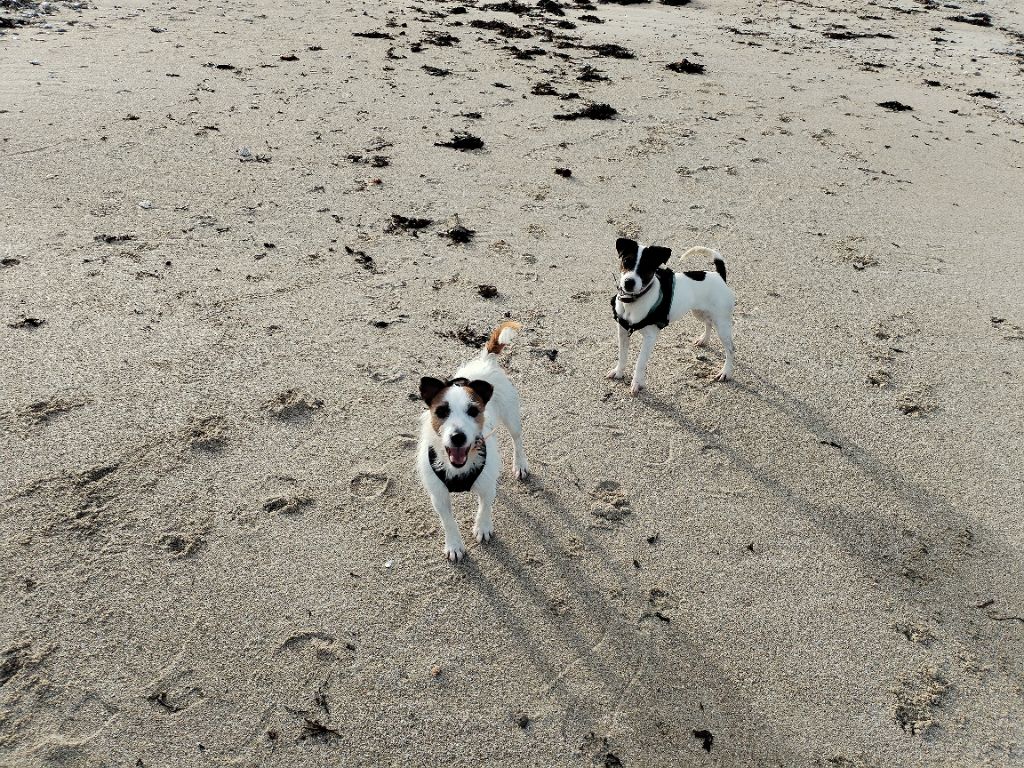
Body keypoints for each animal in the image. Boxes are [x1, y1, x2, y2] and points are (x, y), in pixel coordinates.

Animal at [415, 321, 528, 561]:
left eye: (473, 411)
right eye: (442, 411)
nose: (458, 437)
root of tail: (486, 361)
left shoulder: (486, 488)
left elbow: (485, 508)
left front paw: (482, 527)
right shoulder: (439, 496)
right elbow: (448, 521)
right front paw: (454, 545)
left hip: (512, 418)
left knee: (518, 439)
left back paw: (520, 464)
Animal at [606, 239, 737, 397]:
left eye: (647, 267)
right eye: (626, 261)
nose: (628, 282)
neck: (633, 302)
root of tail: (719, 276)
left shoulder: (650, 338)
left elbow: (640, 362)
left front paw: (637, 383)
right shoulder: (623, 332)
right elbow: (622, 355)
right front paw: (618, 372)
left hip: (722, 323)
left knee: (730, 349)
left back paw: (726, 372)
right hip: (699, 312)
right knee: (708, 322)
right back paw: (703, 340)